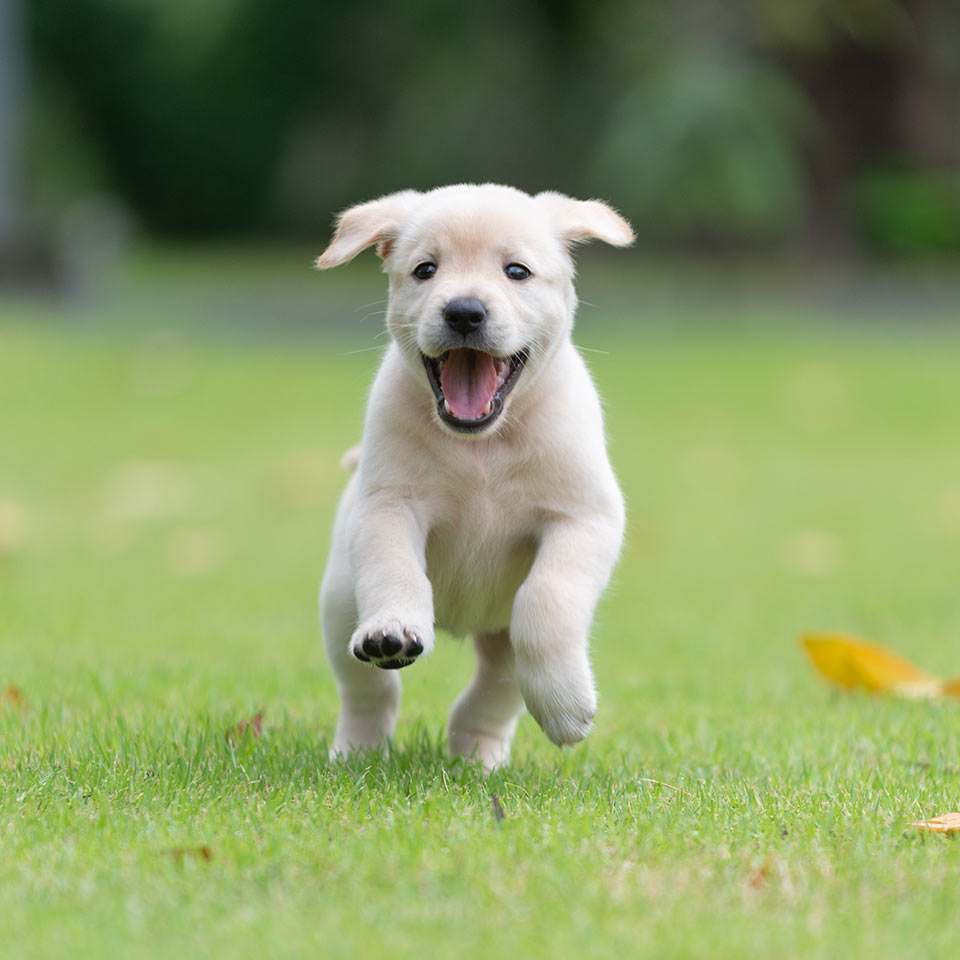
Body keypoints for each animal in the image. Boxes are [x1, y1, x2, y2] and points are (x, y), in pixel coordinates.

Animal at [316, 182, 636, 772]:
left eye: (516, 271)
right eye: (425, 270)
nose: (464, 312)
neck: (480, 448)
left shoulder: (583, 518)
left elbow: (545, 599)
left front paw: (566, 706)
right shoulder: (388, 505)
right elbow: (396, 571)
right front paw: (394, 627)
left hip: (500, 637)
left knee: (498, 686)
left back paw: (478, 751)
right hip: (340, 601)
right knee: (366, 689)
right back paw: (359, 749)